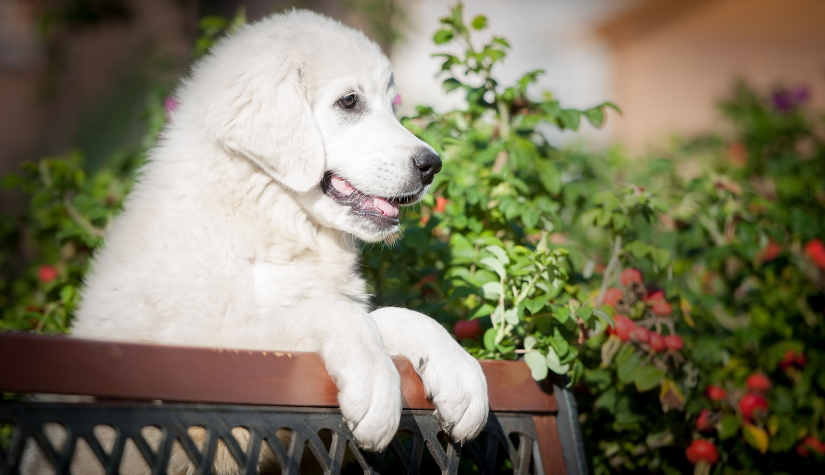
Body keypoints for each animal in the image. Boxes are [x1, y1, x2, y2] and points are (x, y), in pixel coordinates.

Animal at [72, 8, 490, 454]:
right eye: (349, 101)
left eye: (391, 106)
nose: (433, 166)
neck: (267, 224)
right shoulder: (205, 349)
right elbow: (334, 312)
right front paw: (378, 388)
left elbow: (391, 315)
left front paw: (460, 371)